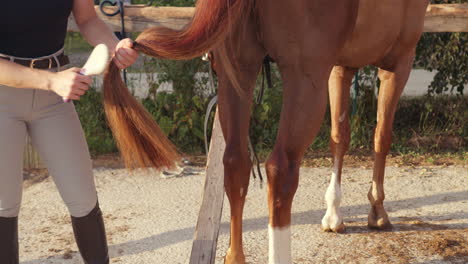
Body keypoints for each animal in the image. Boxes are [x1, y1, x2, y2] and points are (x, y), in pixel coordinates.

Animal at [103, 0, 432, 264]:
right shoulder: (398, 63)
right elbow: (382, 136)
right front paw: (377, 210)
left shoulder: (341, 67)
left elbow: (340, 136)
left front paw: (334, 214)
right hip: (304, 80)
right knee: (280, 171)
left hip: (239, 73)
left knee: (235, 163)